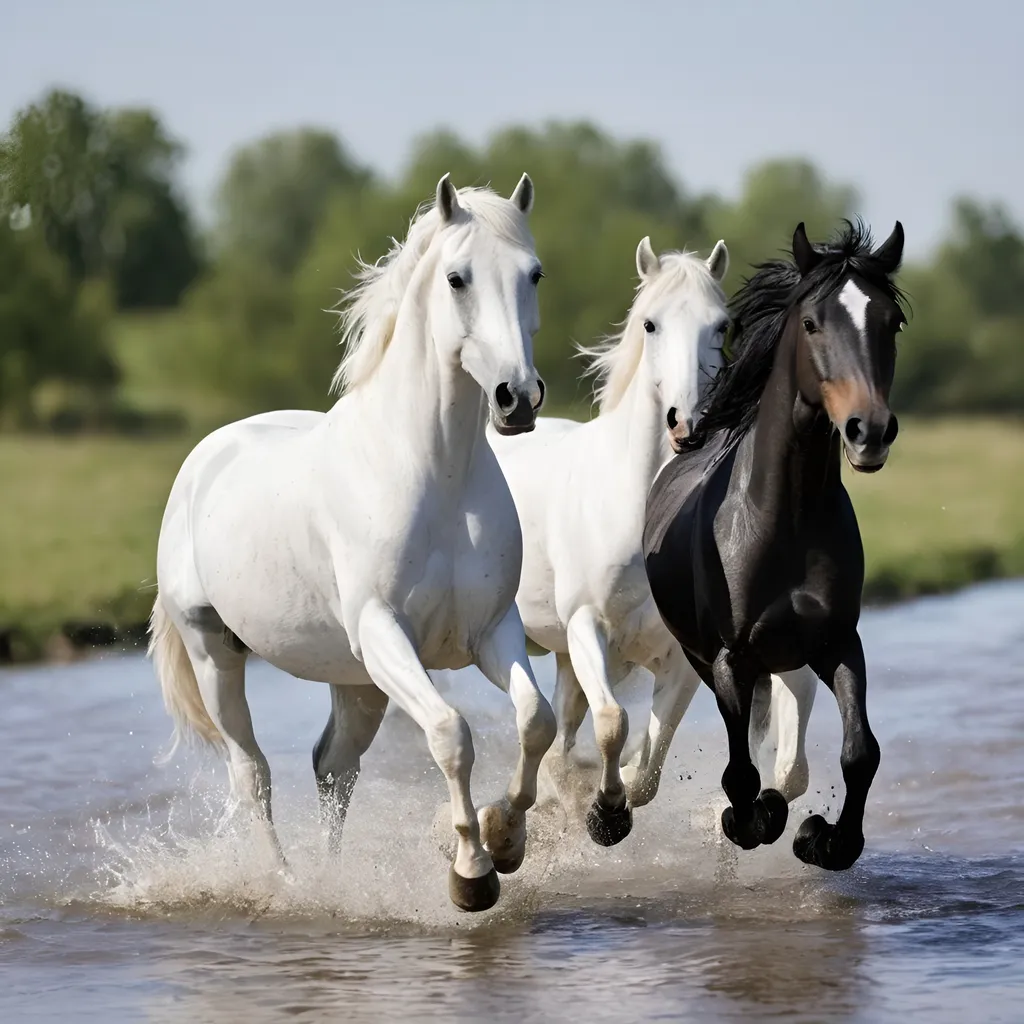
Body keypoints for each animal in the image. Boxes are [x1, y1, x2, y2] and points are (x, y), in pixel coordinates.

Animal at [148, 174, 557, 913]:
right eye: (457, 278)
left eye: (533, 274)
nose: (517, 398)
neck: (436, 473)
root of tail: (204, 459)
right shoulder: (386, 634)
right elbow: (451, 734)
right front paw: (471, 874)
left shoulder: (491, 631)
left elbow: (536, 720)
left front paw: (505, 838)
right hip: (215, 653)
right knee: (251, 773)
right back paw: (283, 883)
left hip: (356, 680)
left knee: (333, 767)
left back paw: (329, 880)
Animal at [487, 235, 815, 843]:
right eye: (650, 324)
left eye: (722, 325)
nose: (687, 423)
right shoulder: (587, 626)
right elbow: (612, 724)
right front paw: (603, 813)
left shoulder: (683, 659)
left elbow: (648, 764)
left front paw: (606, 807)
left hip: (564, 657)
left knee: (563, 734)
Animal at [643, 220, 909, 868]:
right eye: (812, 322)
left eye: (891, 322)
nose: (869, 430)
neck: (785, 521)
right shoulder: (731, 658)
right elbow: (739, 775)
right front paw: (756, 819)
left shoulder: (837, 642)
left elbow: (861, 752)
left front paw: (825, 839)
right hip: (702, 658)